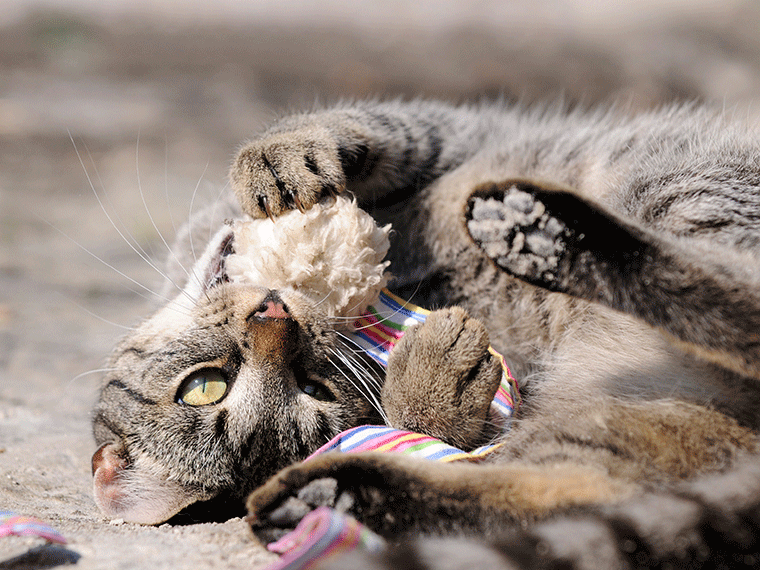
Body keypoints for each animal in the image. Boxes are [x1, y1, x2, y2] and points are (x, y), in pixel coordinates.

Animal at [92, 97, 760, 564]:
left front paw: (281, 153)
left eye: (202, 387)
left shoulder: (443, 138)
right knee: (575, 489)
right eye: (317, 390)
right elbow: (436, 429)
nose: (274, 319)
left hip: (681, 188)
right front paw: (431, 385)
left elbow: (371, 126)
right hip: (605, 422)